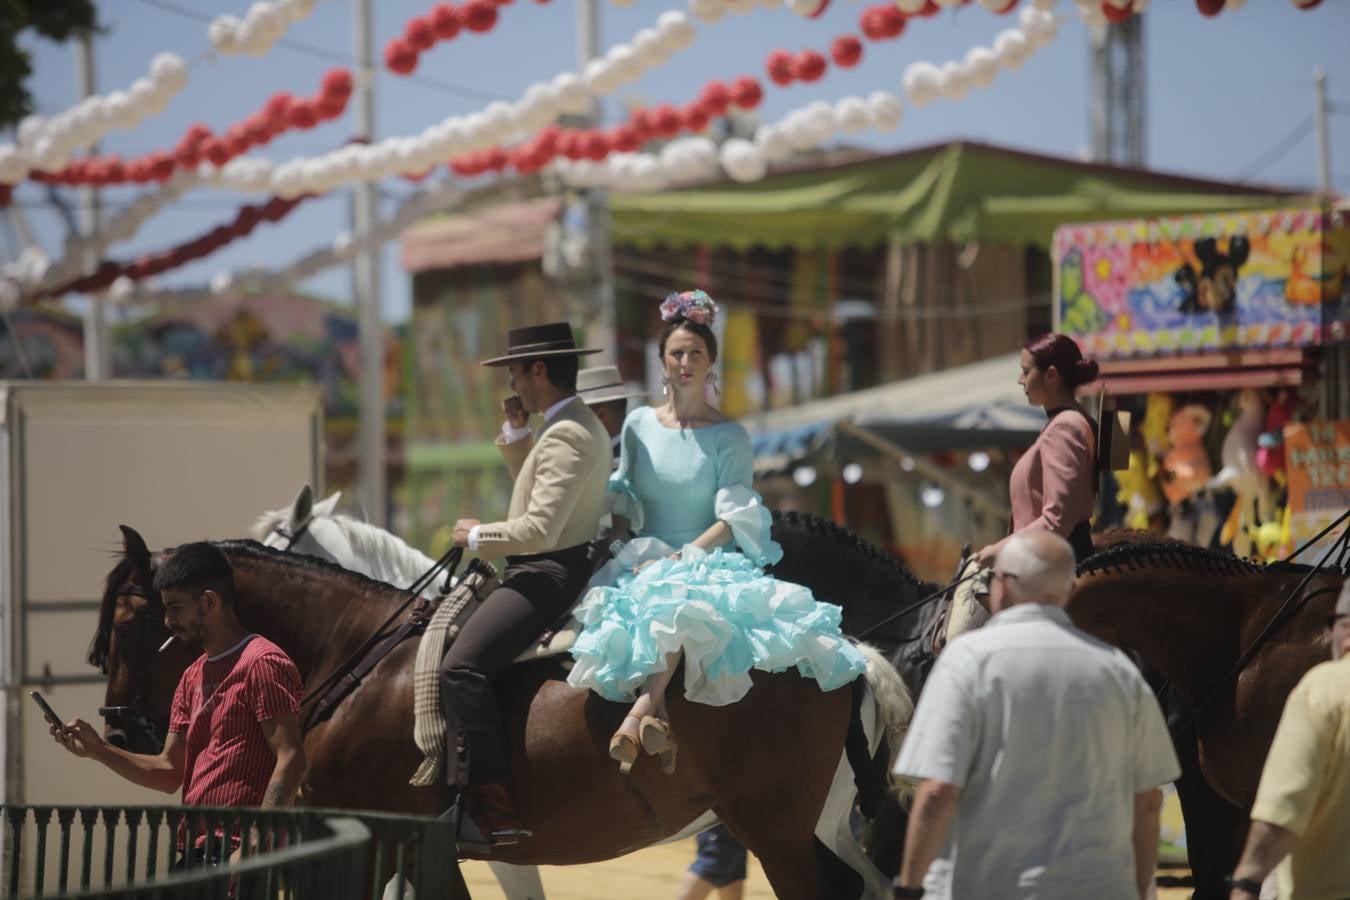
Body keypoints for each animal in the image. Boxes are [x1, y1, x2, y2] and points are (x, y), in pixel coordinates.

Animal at [89, 528, 912, 900]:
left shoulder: (376, 840)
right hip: (820, 826)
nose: (120, 726)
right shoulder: (431, 849)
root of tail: (842, 650)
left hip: (774, 831)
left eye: (130, 622)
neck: (359, 657)